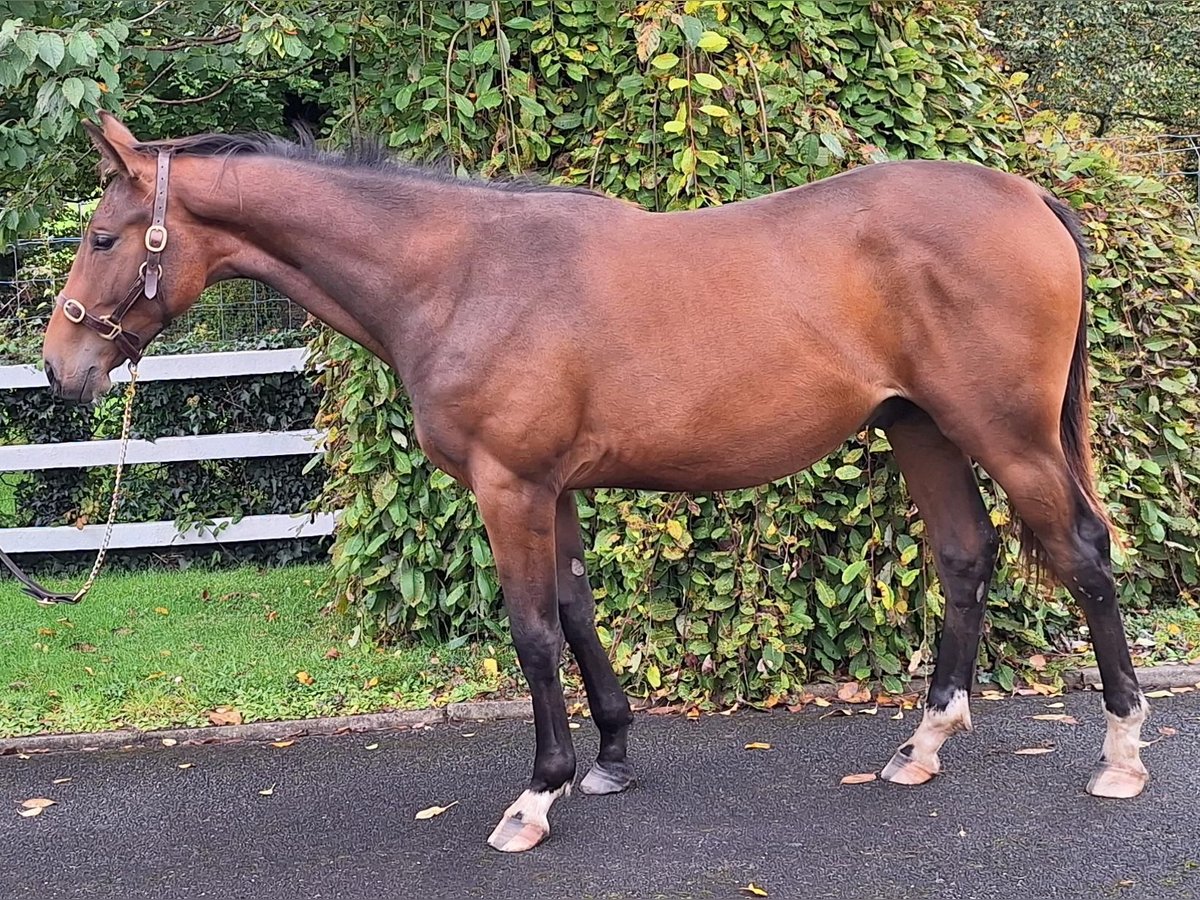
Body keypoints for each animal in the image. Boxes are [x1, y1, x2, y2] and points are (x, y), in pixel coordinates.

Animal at [41, 113, 1151, 852]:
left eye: (102, 237)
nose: (60, 368)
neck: (459, 274)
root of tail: (1028, 197)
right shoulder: (553, 489)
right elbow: (576, 611)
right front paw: (609, 757)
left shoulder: (510, 489)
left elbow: (533, 632)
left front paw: (537, 795)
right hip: (921, 427)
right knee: (966, 555)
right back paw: (924, 742)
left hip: (1006, 432)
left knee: (1084, 555)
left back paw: (1121, 753)